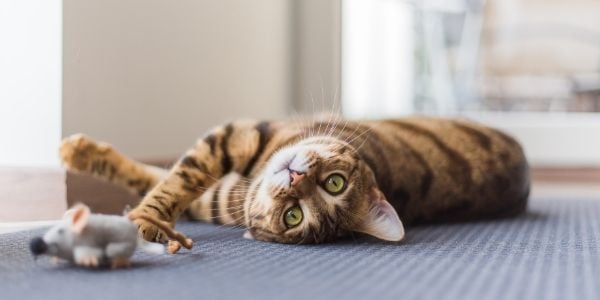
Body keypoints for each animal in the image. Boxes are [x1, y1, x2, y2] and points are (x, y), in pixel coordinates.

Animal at [59, 116, 528, 244]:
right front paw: (79, 152)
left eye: (293, 216)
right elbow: (166, 176)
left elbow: (167, 180)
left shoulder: (219, 179)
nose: (295, 177)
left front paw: (144, 220)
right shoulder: (235, 138)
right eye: (335, 182)